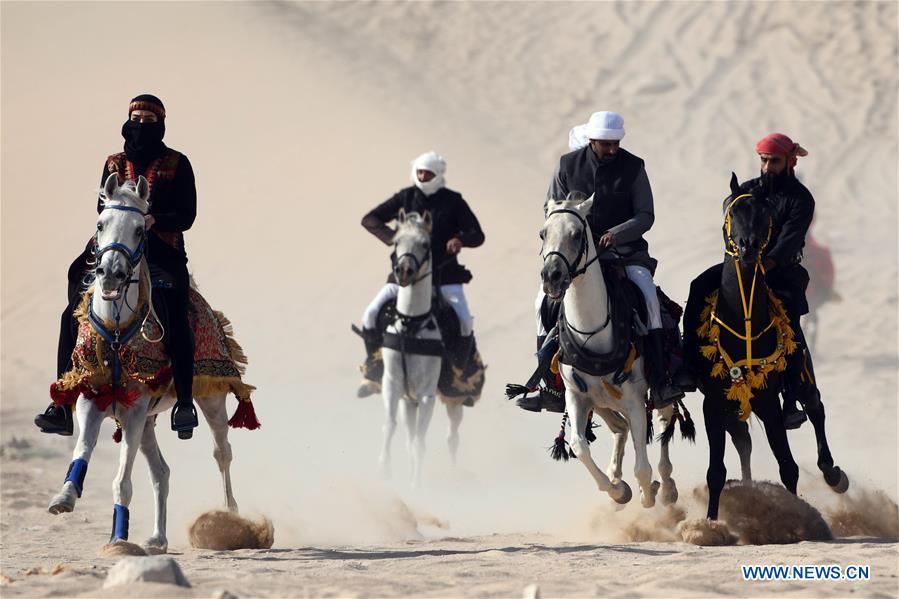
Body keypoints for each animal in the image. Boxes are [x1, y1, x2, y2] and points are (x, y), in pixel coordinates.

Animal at [47, 174, 258, 553]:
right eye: (100, 224)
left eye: (138, 229)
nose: (110, 274)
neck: (117, 333)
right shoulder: (91, 399)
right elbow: (82, 449)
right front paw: (64, 498)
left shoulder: (134, 409)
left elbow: (123, 481)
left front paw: (118, 539)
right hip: (148, 422)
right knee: (162, 472)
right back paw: (158, 539)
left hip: (211, 398)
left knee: (222, 452)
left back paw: (230, 517)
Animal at [378, 209, 454, 485]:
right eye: (396, 242)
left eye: (424, 244)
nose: (404, 271)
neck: (411, 325)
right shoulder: (393, 386)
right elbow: (390, 428)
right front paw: (384, 473)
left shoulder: (426, 395)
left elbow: (420, 443)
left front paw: (416, 485)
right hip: (407, 403)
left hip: (454, 398)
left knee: (452, 437)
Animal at [539, 195, 682, 508]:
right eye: (543, 233)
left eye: (576, 234)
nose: (551, 276)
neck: (592, 332)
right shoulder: (576, 397)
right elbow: (579, 446)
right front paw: (617, 489)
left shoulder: (634, 400)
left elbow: (643, 467)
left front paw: (647, 493)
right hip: (602, 402)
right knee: (620, 428)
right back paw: (617, 475)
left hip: (657, 393)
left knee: (662, 424)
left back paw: (666, 486)